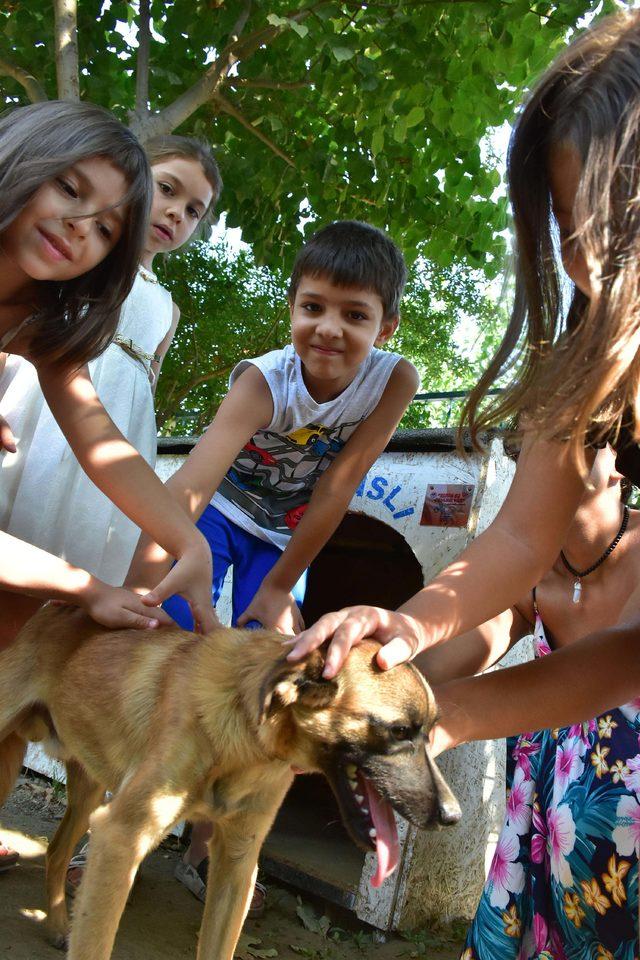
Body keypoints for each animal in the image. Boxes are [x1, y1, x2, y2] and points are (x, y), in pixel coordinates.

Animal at [0, 604, 460, 956]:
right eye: (399, 731)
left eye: (431, 731)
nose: (453, 816)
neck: (244, 743)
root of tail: (58, 607)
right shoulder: (121, 837)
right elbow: (96, 945)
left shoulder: (238, 862)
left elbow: (218, 947)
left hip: (90, 792)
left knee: (56, 851)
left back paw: (58, 926)